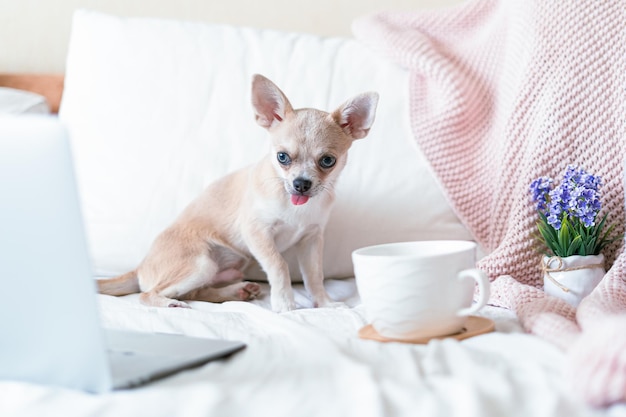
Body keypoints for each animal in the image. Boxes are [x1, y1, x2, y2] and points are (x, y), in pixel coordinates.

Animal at [98, 74, 376, 312]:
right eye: (282, 157)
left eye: (328, 161)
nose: (301, 183)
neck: (295, 205)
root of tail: (139, 267)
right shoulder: (257, 232)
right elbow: (279, 265)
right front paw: (285, 303)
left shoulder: (311, 239)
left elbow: (314, 276)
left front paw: (325, 303)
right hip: (201, 264)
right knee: (148, 294)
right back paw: (170, 303)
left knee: (197, 292)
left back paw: (235, 292)